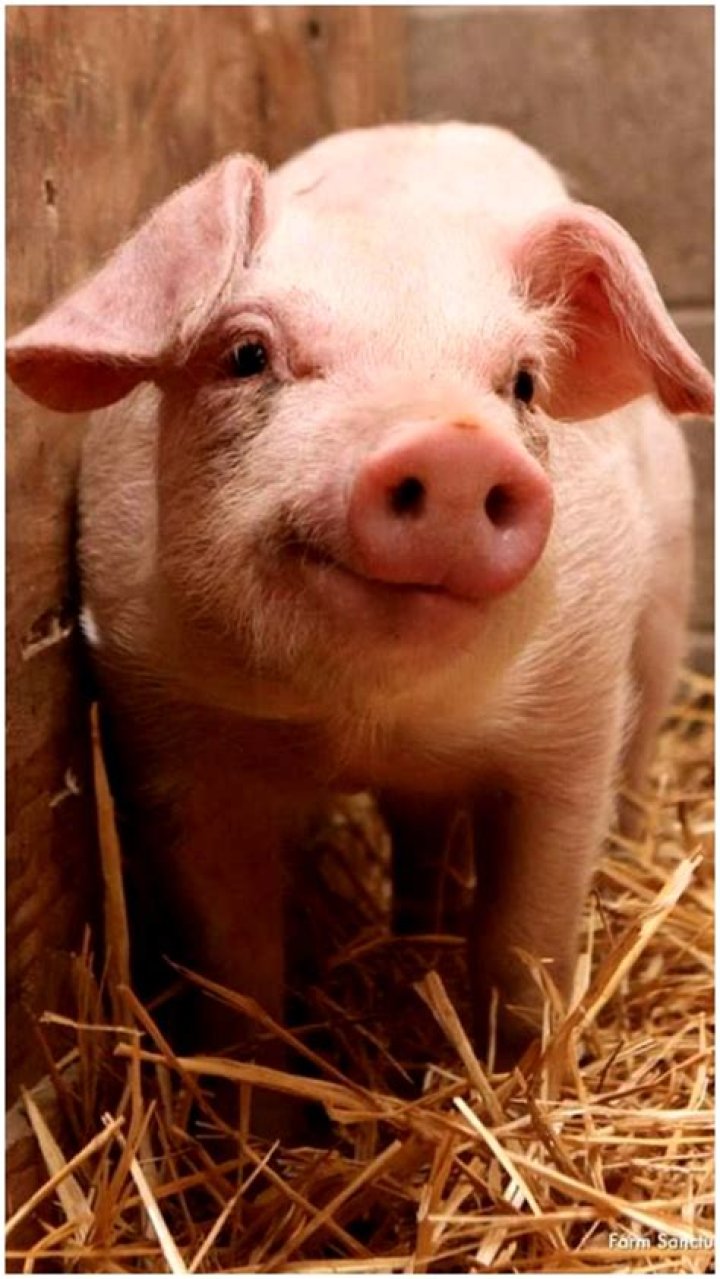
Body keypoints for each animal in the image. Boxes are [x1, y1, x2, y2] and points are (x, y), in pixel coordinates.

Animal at [7, 123, 713, 1074]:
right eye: (246, 354)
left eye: (524, 383)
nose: (456, 448)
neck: (367, 720)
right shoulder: (164, 734)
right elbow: (236, 969)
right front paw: (256, 1102)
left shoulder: (574, 715)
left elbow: (525, 936)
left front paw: (521, 1072)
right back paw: (411, 930)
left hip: (666, 606)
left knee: (629, 774)